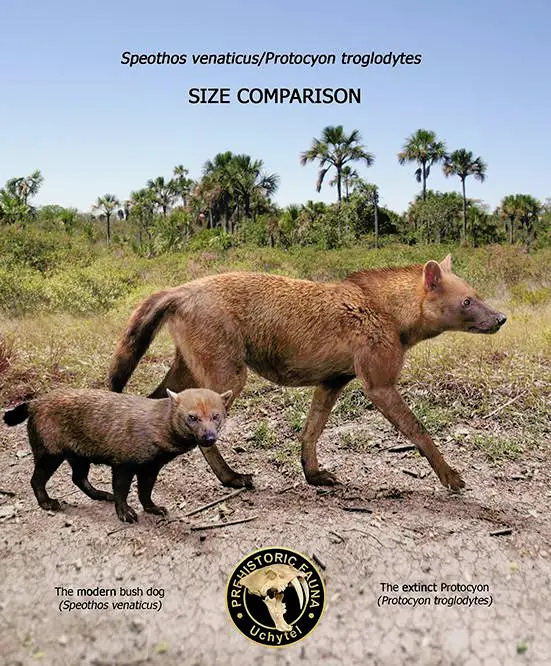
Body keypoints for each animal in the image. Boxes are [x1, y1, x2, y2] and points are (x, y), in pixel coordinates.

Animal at [3, 387, 232, 523]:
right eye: (192, 417)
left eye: (216, 416)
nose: (209, 437)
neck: (154, 425)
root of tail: (34, 402)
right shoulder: (124, 463)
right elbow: (122, 490)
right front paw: (126, 513)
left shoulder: (150, 467)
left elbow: (145, 491)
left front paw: (154, 508)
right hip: (50, 454)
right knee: (36, 479)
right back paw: (48, 503)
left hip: (79, 456)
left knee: (78, 478)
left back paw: (101, 495)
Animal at [108, 255, 506, 492]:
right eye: (467, 301)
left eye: (477, 295)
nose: (502, 318)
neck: (389, 312)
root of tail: (180, 289)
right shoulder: (379, 387)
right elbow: (421, 433)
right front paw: (450, 477)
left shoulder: (331, 384)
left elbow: (310, 434)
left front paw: (313, 476)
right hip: (228, 382)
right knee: (200, 437)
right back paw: (231, 478)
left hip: (189, 378)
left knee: (150, 406)